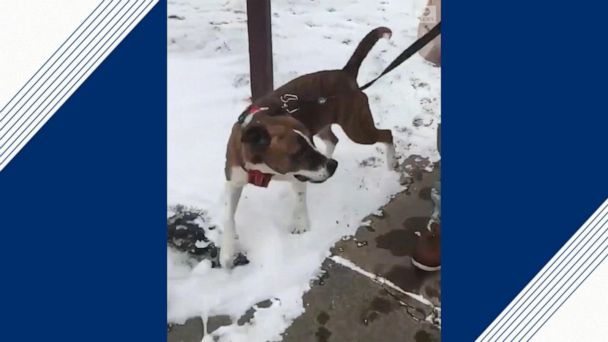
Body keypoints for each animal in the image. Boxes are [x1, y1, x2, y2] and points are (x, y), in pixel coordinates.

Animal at [221, 26, 396, 268]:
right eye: (299, 152)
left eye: (307, 147)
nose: (333, 166)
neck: (263, 168)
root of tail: (345, 73)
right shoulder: (235, 179)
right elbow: (228, 217)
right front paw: (227, 251)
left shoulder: (298, 174)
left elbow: (300, 199)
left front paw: (300, 223)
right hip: (324, 124)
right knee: (333, 140)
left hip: (357, 129)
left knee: (386, 134)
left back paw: (390, 164)